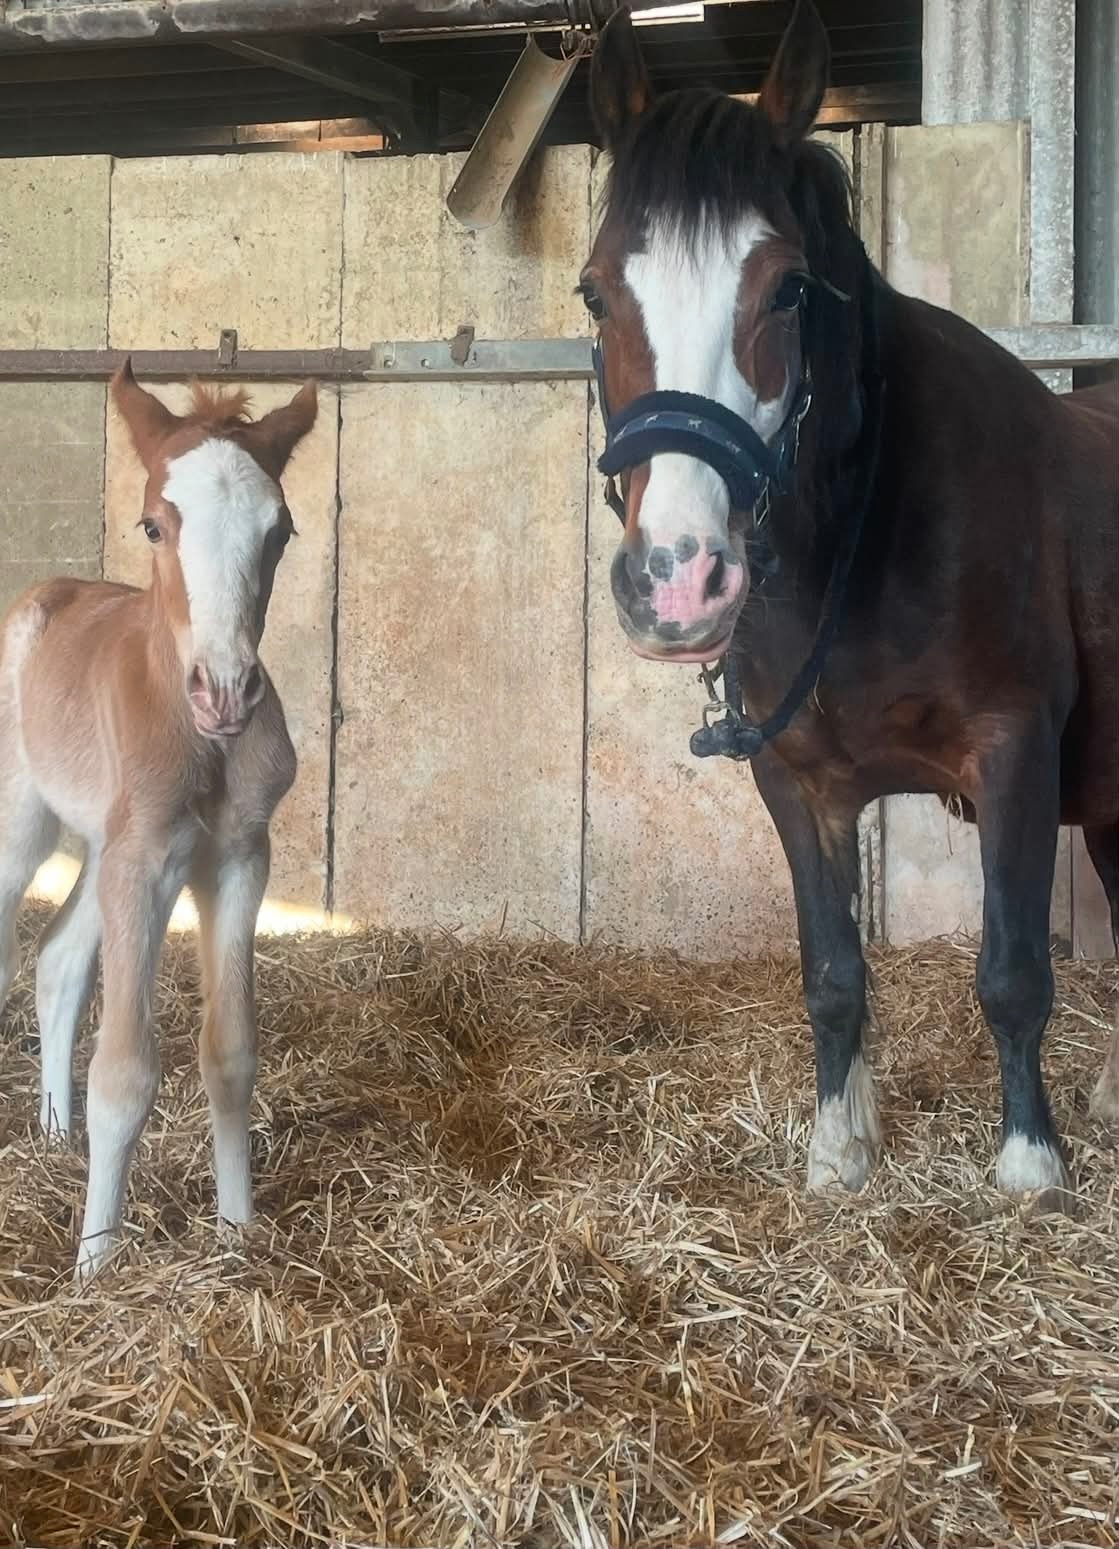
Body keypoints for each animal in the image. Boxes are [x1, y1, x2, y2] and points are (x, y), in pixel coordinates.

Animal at [0, 363, 316, 1277]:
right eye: (153, 524)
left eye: (281, 531)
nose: (226, 691)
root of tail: (50, 591)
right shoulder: (142, 864)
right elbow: (126, 1072)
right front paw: (96, 1265)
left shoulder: (235, 858)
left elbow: (230, 1053)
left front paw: (238, 1233)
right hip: (25, 825)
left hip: (101, 846)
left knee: (57, 957)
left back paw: (54, 1132)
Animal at [582, 0, 1119, 1208]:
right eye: (594, 290)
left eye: (786, 287)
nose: (677, 578)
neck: (861, 546)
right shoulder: (798, 780)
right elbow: (831, 971)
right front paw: (840, 1147)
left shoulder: (1014, 754)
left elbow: (1012, 971)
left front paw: (1030, 1162)